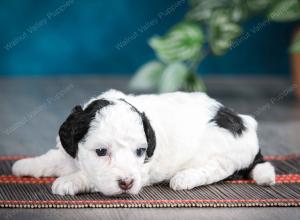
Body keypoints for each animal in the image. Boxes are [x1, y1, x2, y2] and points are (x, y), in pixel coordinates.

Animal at [11, 89, 276, 196]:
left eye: (140, 151)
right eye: (101, 151)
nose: (127, 183)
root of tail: (244, 123)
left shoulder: (143, 171)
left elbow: (89, 177)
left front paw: (69, 181)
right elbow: (53, 158)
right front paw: (25, 165)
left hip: (222, 155)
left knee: (217, 170)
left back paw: (185, 178)